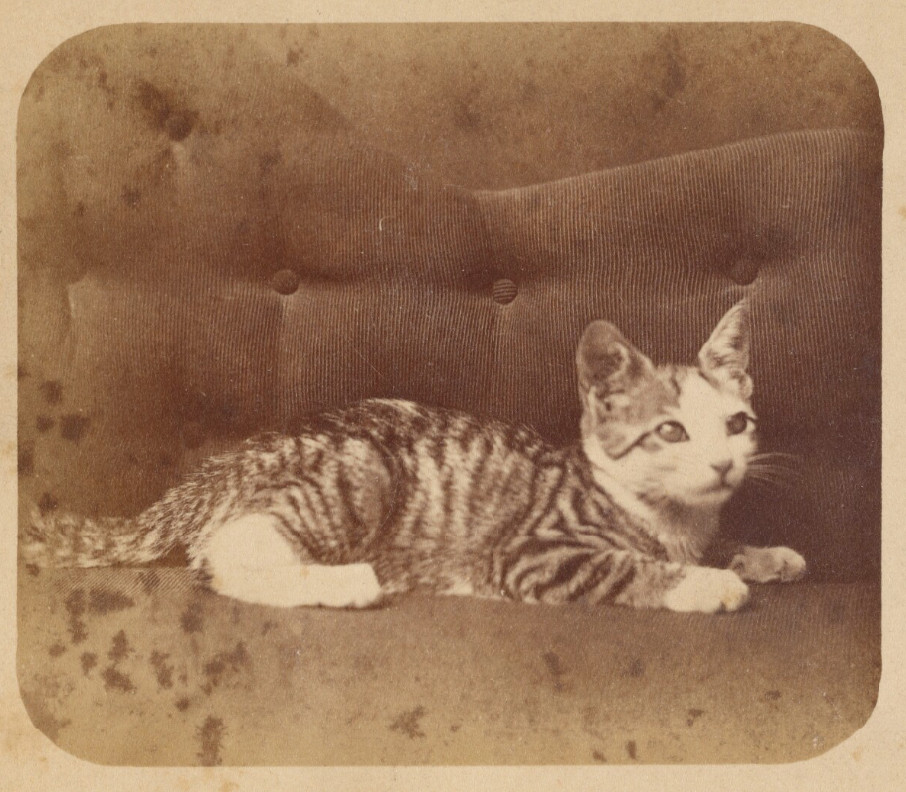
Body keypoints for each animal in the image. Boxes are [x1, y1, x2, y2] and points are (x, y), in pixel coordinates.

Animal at [21, 304, 800, 612]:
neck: (662, 515)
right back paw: (347, 582)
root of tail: (226, 464)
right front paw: (708, 583)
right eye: (671, 432)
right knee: (221, 560)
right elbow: (628, 567)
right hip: (359, 472)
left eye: (736, 424)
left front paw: (762, 554)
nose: (724, 467)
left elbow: (715, 542)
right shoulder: (533, 553)